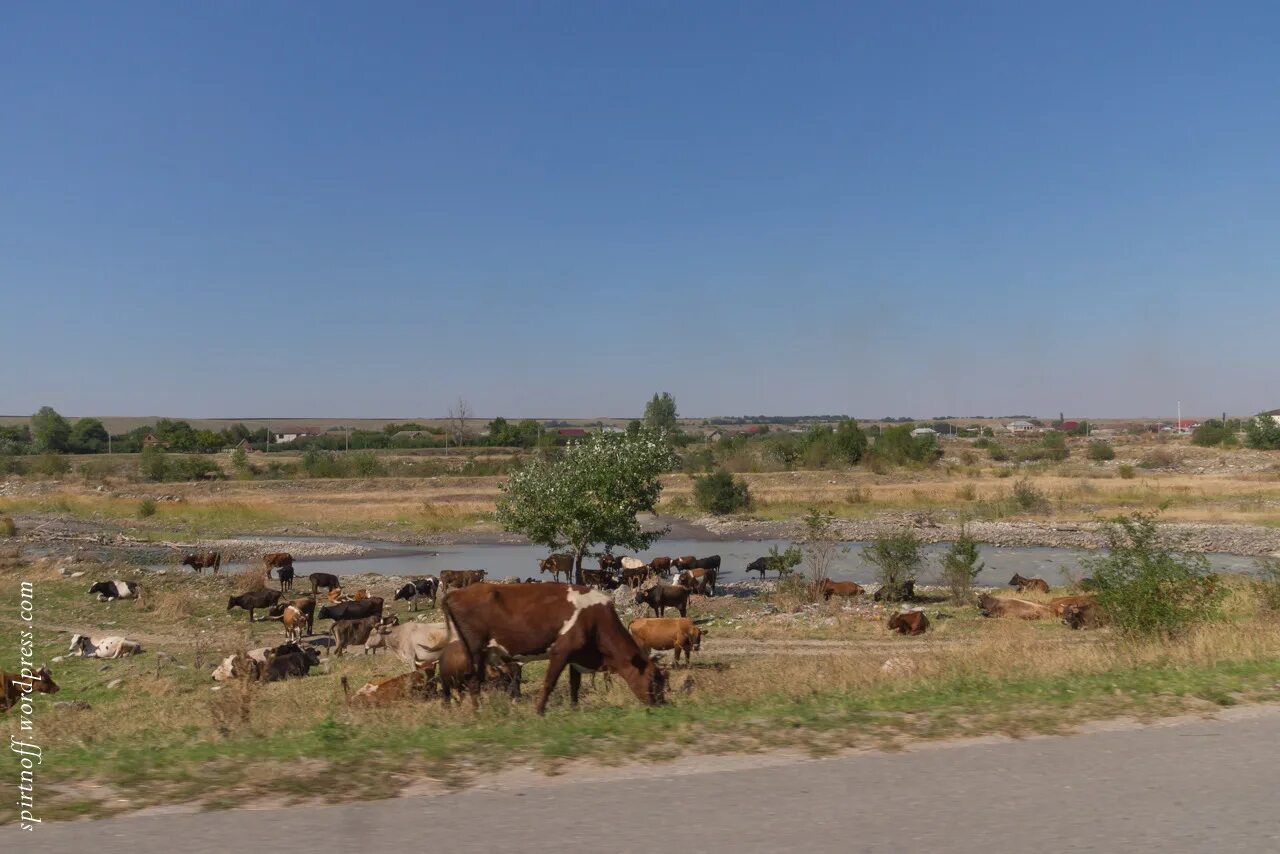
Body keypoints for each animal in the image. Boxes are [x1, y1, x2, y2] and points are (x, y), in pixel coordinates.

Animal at [442, 581, 665, 717]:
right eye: (653, 679)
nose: (662, 705)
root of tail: (457, 592)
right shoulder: (561, 651)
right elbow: (549, 683)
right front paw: (539, 712)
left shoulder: (576, 655)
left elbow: (575, 684)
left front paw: (574, 709)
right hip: (475, 650)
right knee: (473, 681)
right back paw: (478, 712)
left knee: (474, 680)